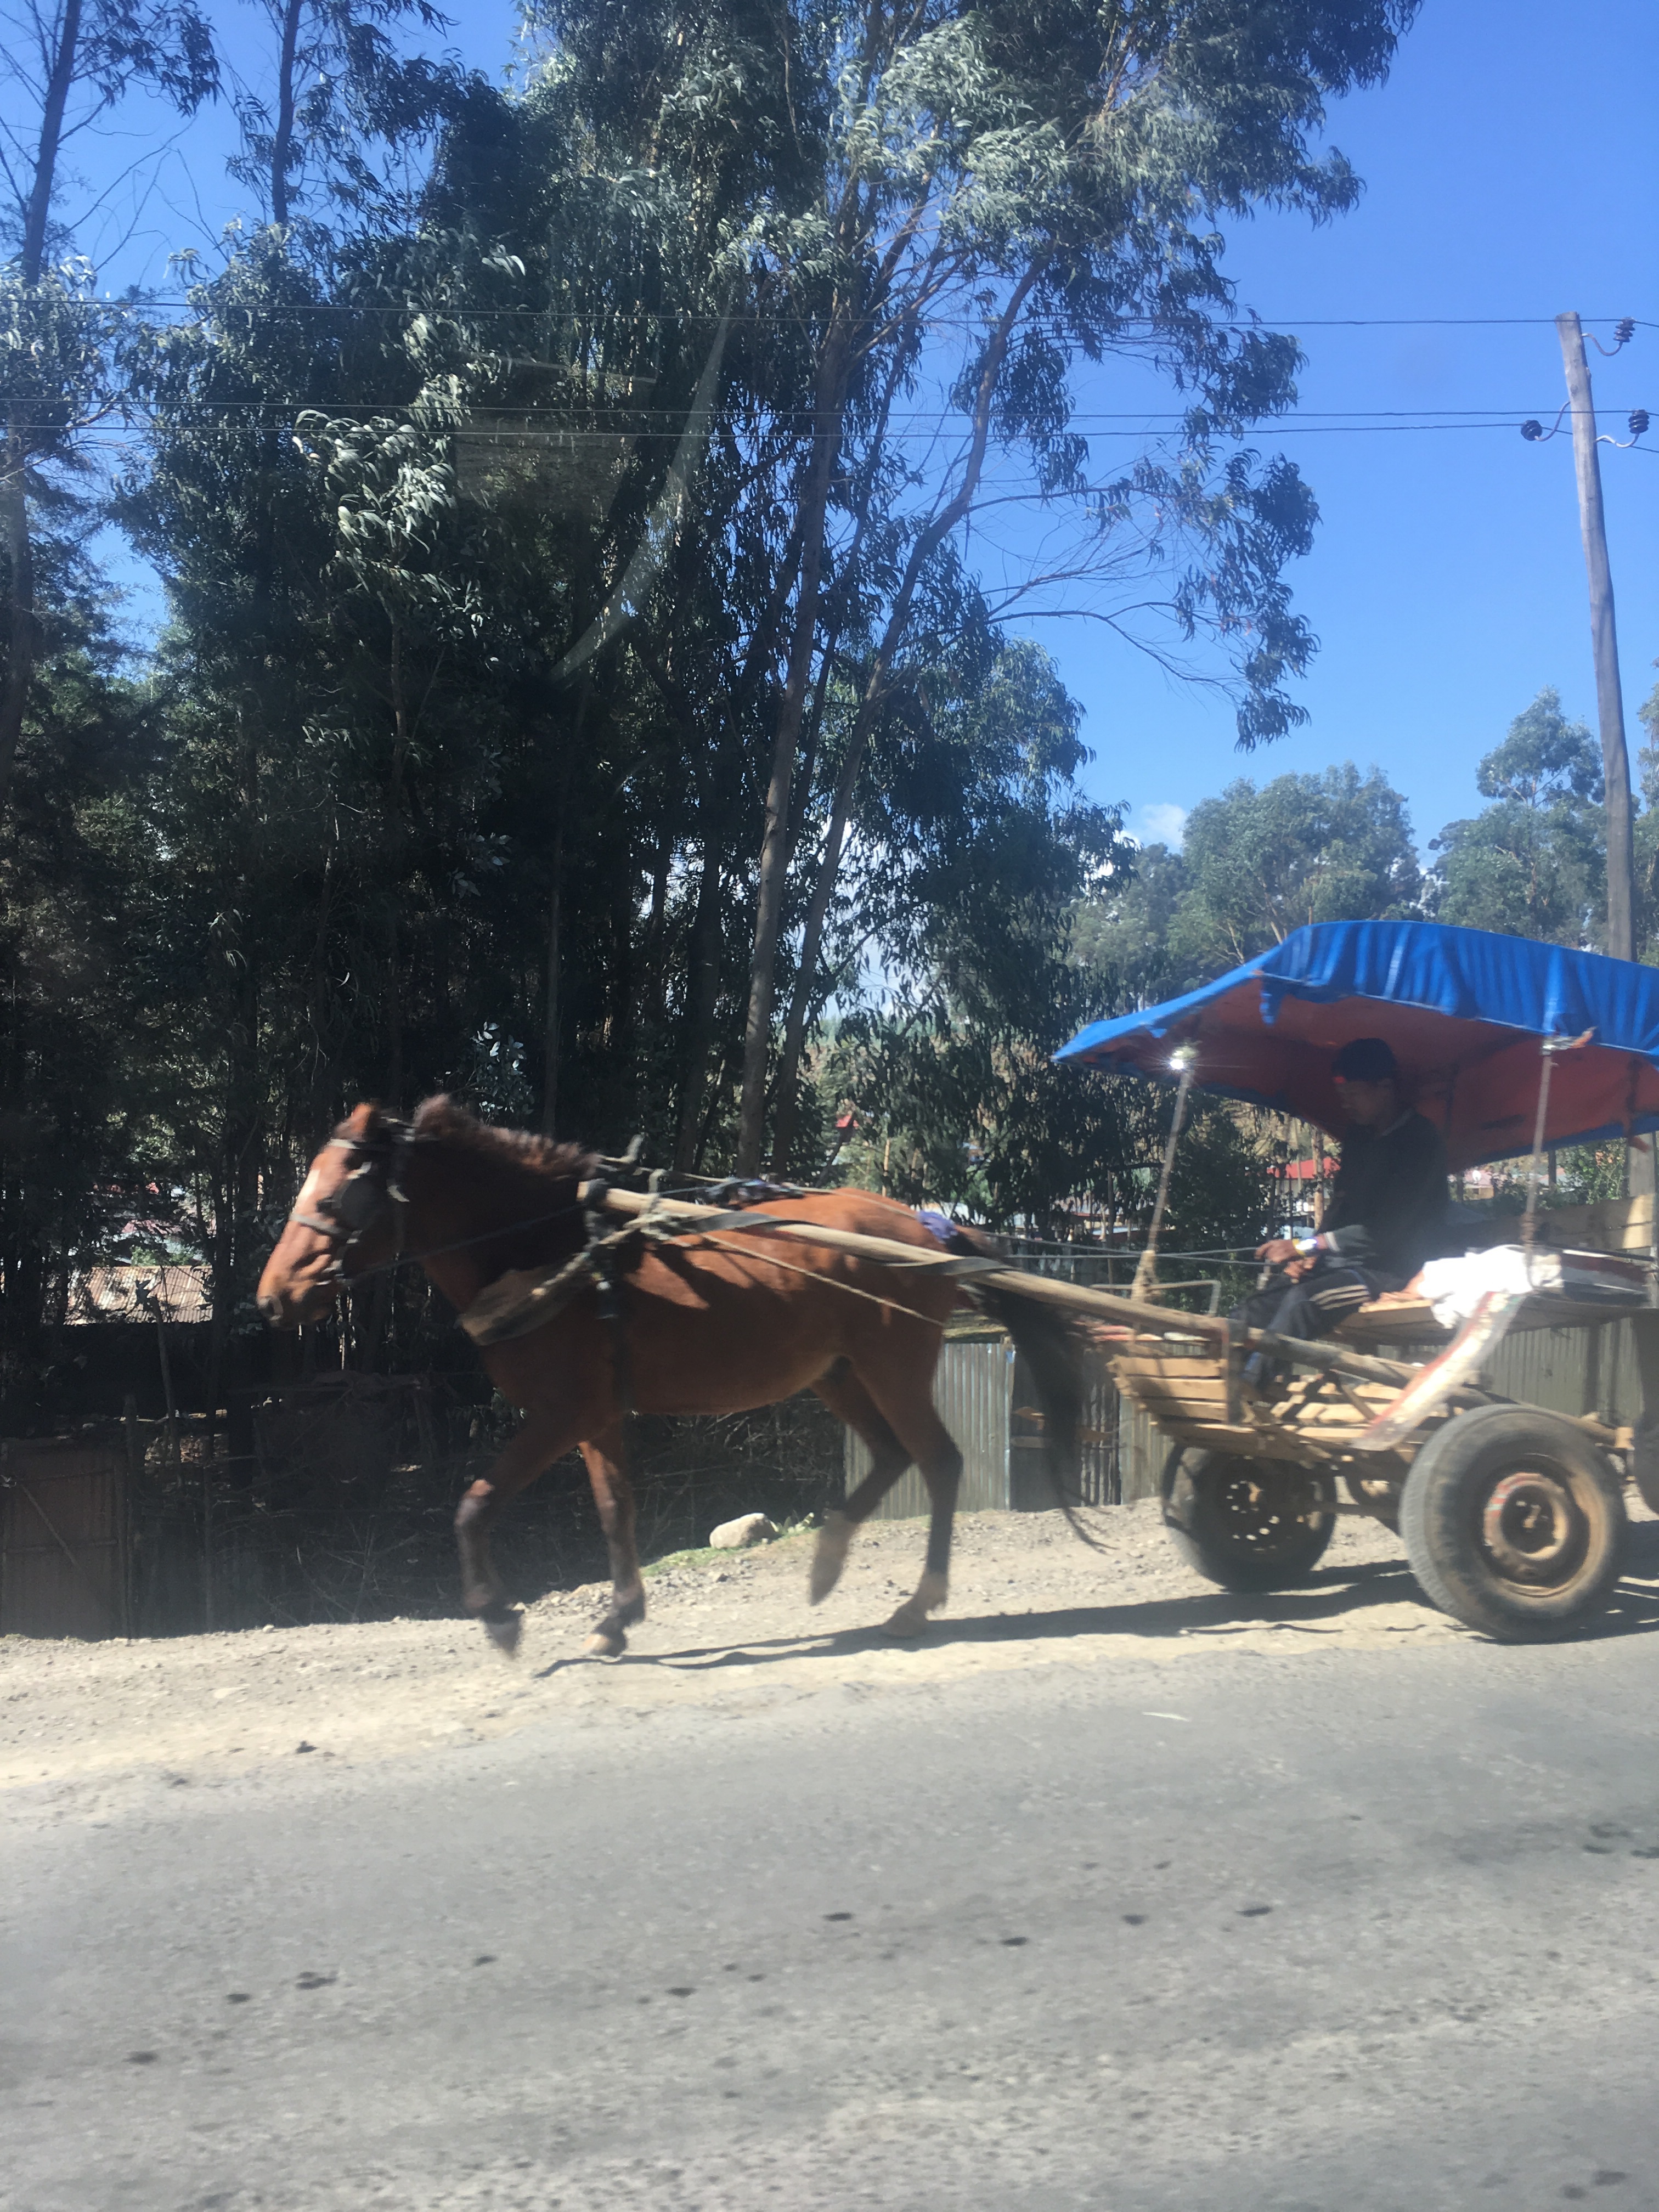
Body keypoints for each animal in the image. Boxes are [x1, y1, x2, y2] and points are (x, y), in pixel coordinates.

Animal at [256, 1097, 1084, 1656]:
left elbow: (474, 1505)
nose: (272, 1297)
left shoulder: (560, 1414)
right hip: (839, 1374)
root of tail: (928, 1228)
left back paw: (916, 1605)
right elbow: (615, 1510)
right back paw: (827, 1565)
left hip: (894, 1367)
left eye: (333, 1196)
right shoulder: (595, 1417)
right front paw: (618, 1619)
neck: (554, 1253)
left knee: (938, 1462)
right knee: (889, 1456)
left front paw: (498, 1615)